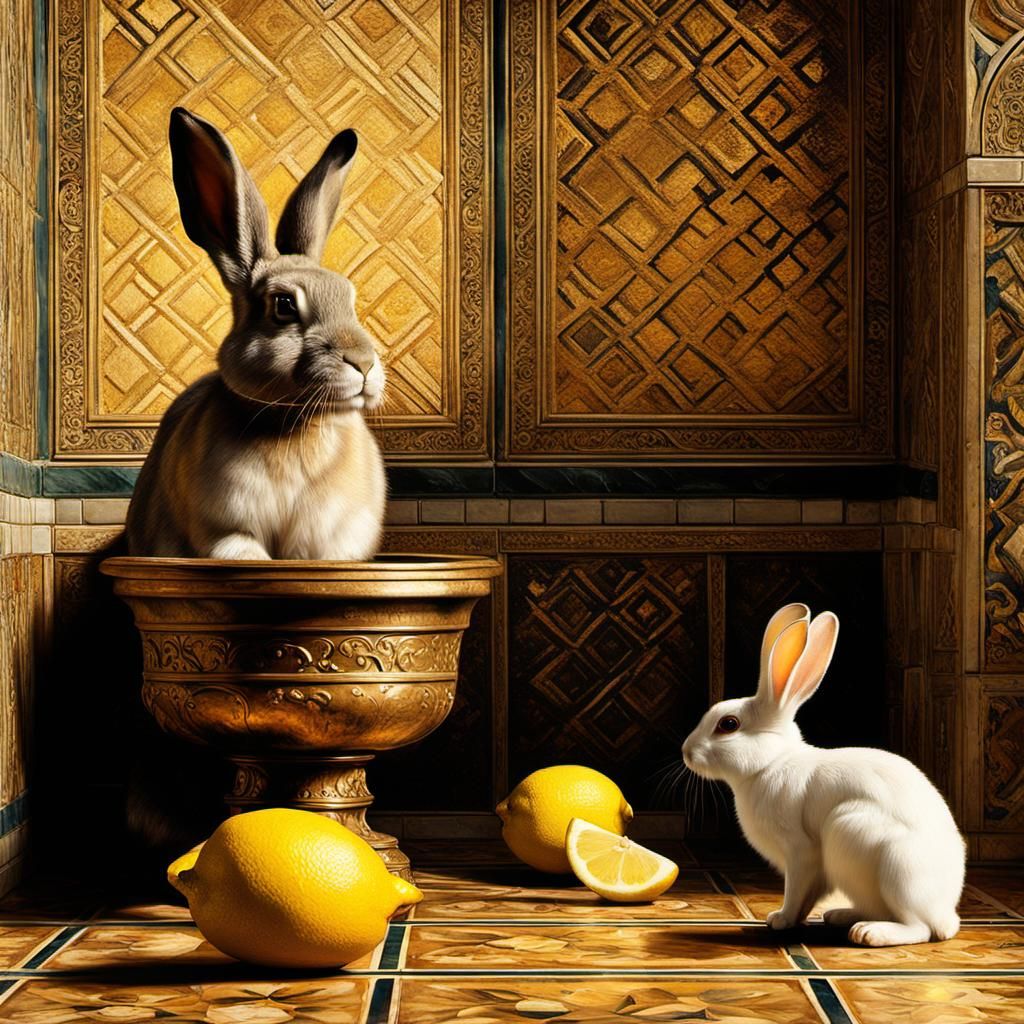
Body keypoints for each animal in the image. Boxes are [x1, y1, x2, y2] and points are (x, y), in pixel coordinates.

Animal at [124, 107, 386, 561]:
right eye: (283, 306)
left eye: (350, 298)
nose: (364, 363)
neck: (295, 426)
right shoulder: (224, 531)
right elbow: (242, 550)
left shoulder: (331, 541)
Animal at [682, 603, 966, 947]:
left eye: (728, 724)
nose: (686, 752)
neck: (772, 763)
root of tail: (946, 914)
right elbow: (807, 897)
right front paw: (788, 919)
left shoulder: (800, 853)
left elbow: (795, 892)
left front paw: (780, 920)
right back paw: (840, 916)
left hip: (875, 851)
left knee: (919, 927)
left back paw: (869, 933)